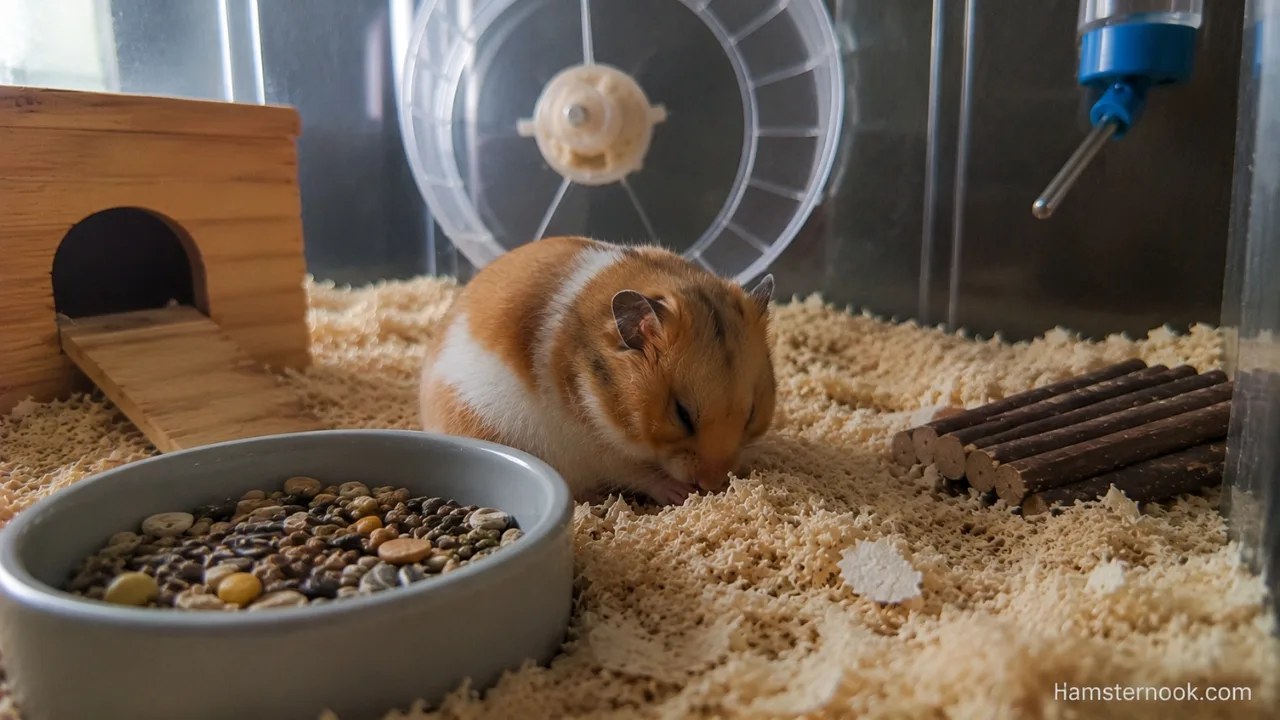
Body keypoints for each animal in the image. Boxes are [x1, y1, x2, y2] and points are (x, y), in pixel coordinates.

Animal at [418, 235, 777, 506]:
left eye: (751, 414)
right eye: (681, 414)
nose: (712, 483)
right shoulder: (596, 448)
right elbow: (639, 473)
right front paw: (679, 492)